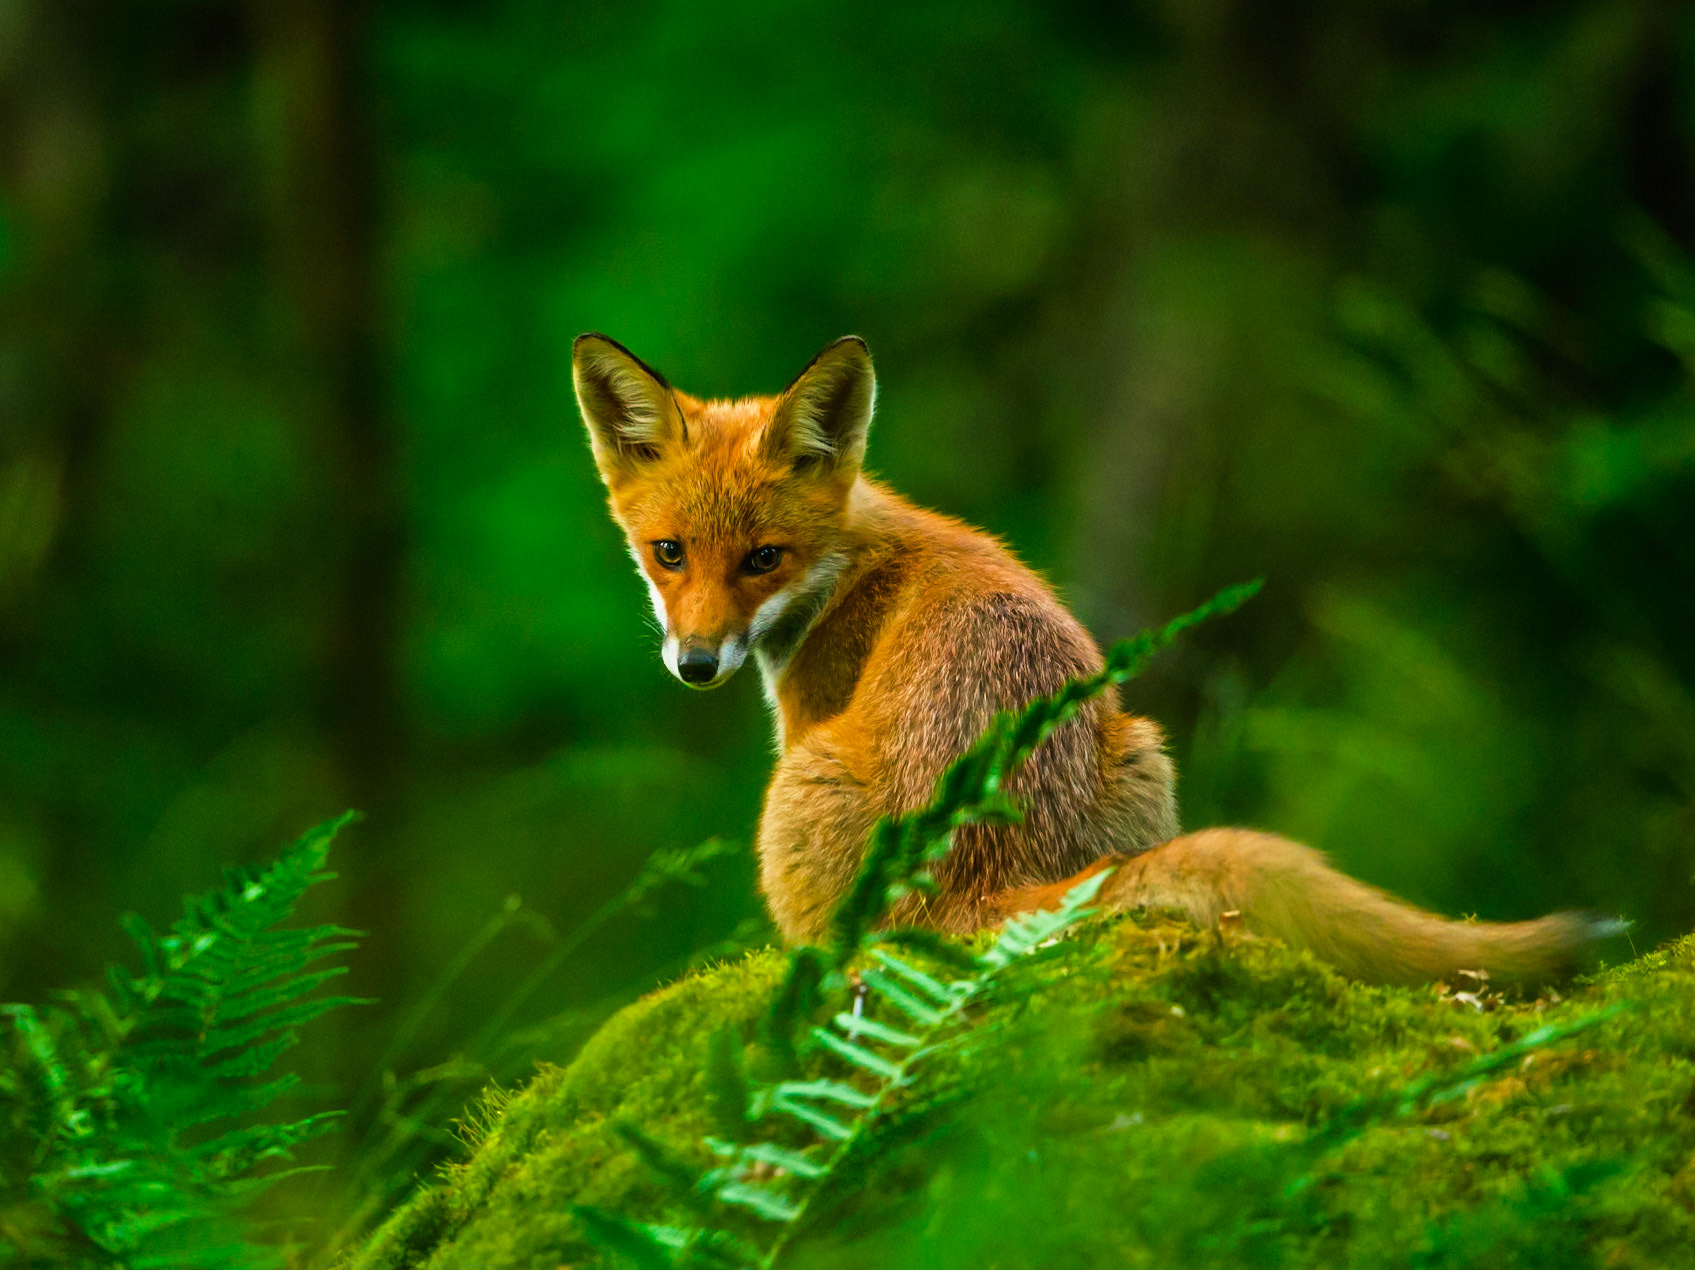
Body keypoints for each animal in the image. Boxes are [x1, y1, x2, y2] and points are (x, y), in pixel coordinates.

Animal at [573, 331, 1619, 986]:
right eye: (668, 553)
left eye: (763, 559)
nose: (696, 664)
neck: (850, 566)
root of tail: (984, 874)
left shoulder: (804, 727)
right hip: (1146, 747)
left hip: (797, 790)